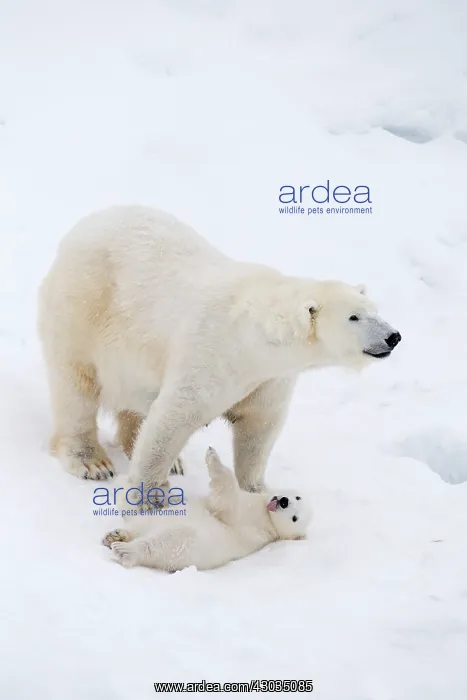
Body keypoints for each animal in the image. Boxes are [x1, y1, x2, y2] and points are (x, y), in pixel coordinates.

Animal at [37, 205, 401, 494]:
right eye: (354, 317)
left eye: (375, 309)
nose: (393, 336)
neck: (254, 339)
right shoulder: (210, 353)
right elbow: (173, 417)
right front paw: (147, 491)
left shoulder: (270, 378)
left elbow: (260, 426)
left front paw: (257, 489)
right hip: (83, 308)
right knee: (76, 386)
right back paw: (92, 462)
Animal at [102, 447, 312, 572]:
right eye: (297, 497)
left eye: (295, 518)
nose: (283, 501)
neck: (267, 516)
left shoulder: (252, 522)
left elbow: (226, 504)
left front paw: (213, 459)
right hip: (155, 519)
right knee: (141, 525)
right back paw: (115, 535)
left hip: (188, 546)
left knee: (167, 541)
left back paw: (125, 550)